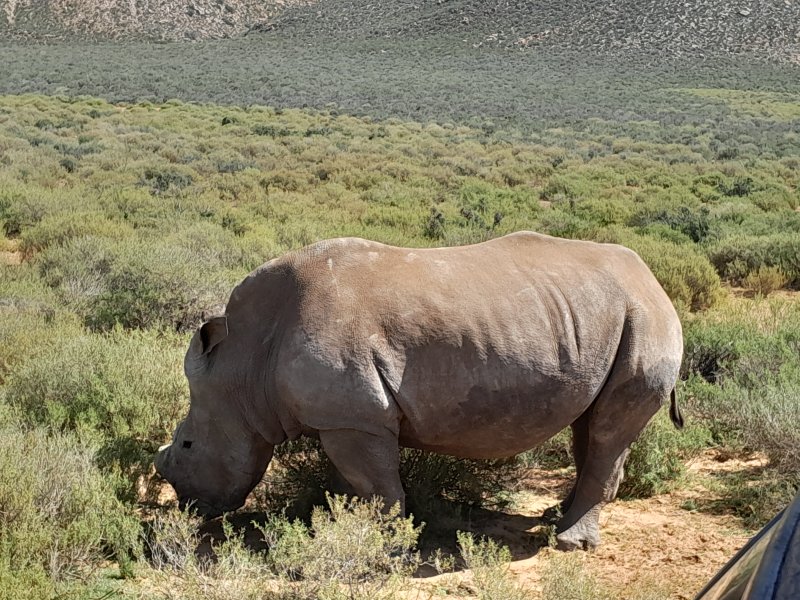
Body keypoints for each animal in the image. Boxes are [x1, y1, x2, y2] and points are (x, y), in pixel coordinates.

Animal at [155, 231, 684, 551]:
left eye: (187, 445)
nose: (187, 507)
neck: (247, 363)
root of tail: (654, 281)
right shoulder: (348, 418)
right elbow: (356, 483)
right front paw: (349, 526)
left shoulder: (355, 418)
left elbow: (376, 485)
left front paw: (383, 543)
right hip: (607, 320)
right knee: (588, 425)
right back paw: (558, 514)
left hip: (645, 321)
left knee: (608, 433)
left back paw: (569, 542)